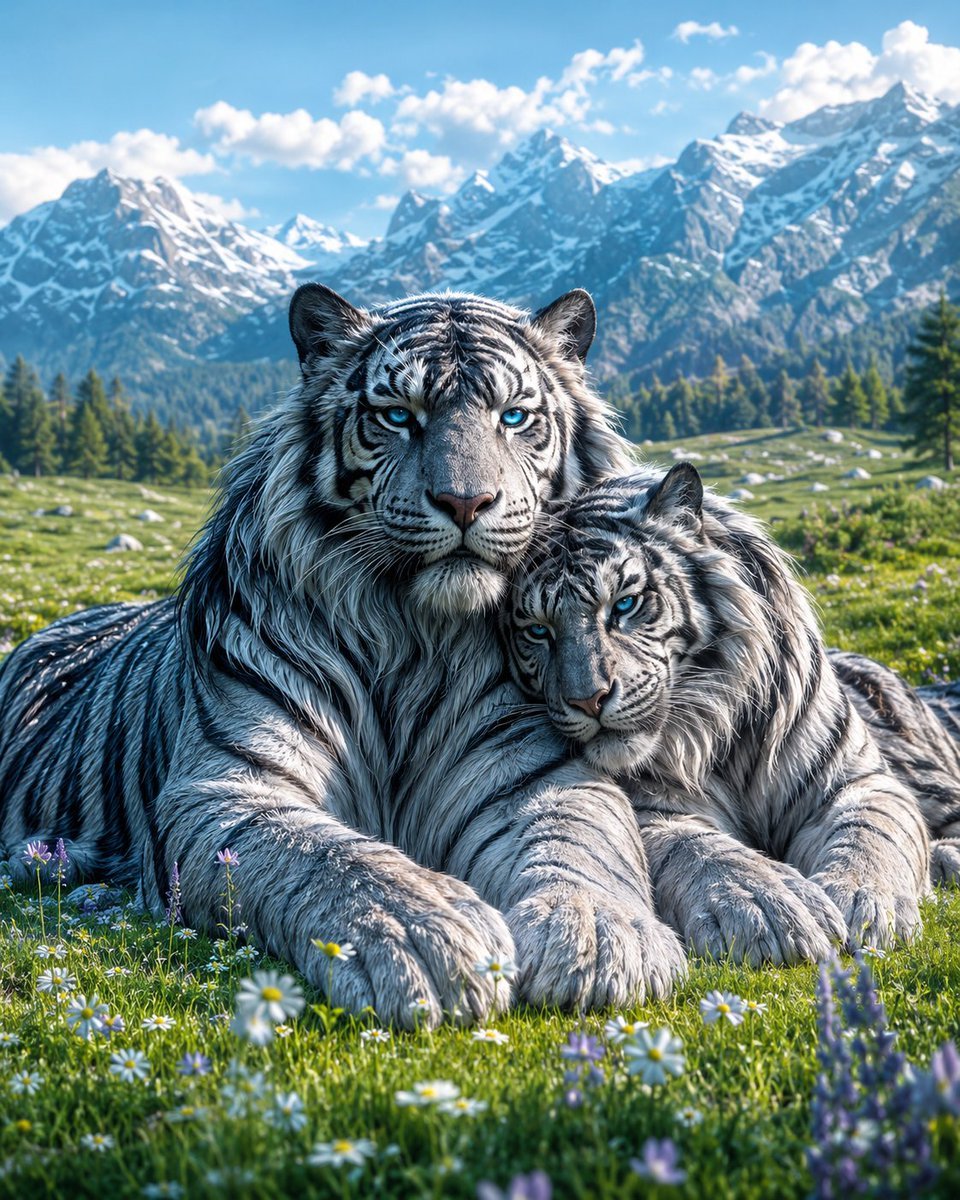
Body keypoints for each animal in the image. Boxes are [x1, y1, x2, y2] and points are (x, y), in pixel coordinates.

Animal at [0, 285, 687, 1026]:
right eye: (398, 416)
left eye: (514, 416)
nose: (465, 501)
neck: (415, 638)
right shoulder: (233, 785)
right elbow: (322, 854)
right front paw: (419, 933)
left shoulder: (534, 770)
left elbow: (577, 839)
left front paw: (597, 938)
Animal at [504, 462, 931, 964]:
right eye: (538, 631)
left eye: (625, 604)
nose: (588, 699)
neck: (719, 732)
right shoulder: (653, 811)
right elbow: (698, 848)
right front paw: (763, 906)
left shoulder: (857, 780)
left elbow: (870, 832)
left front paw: (864, 903)